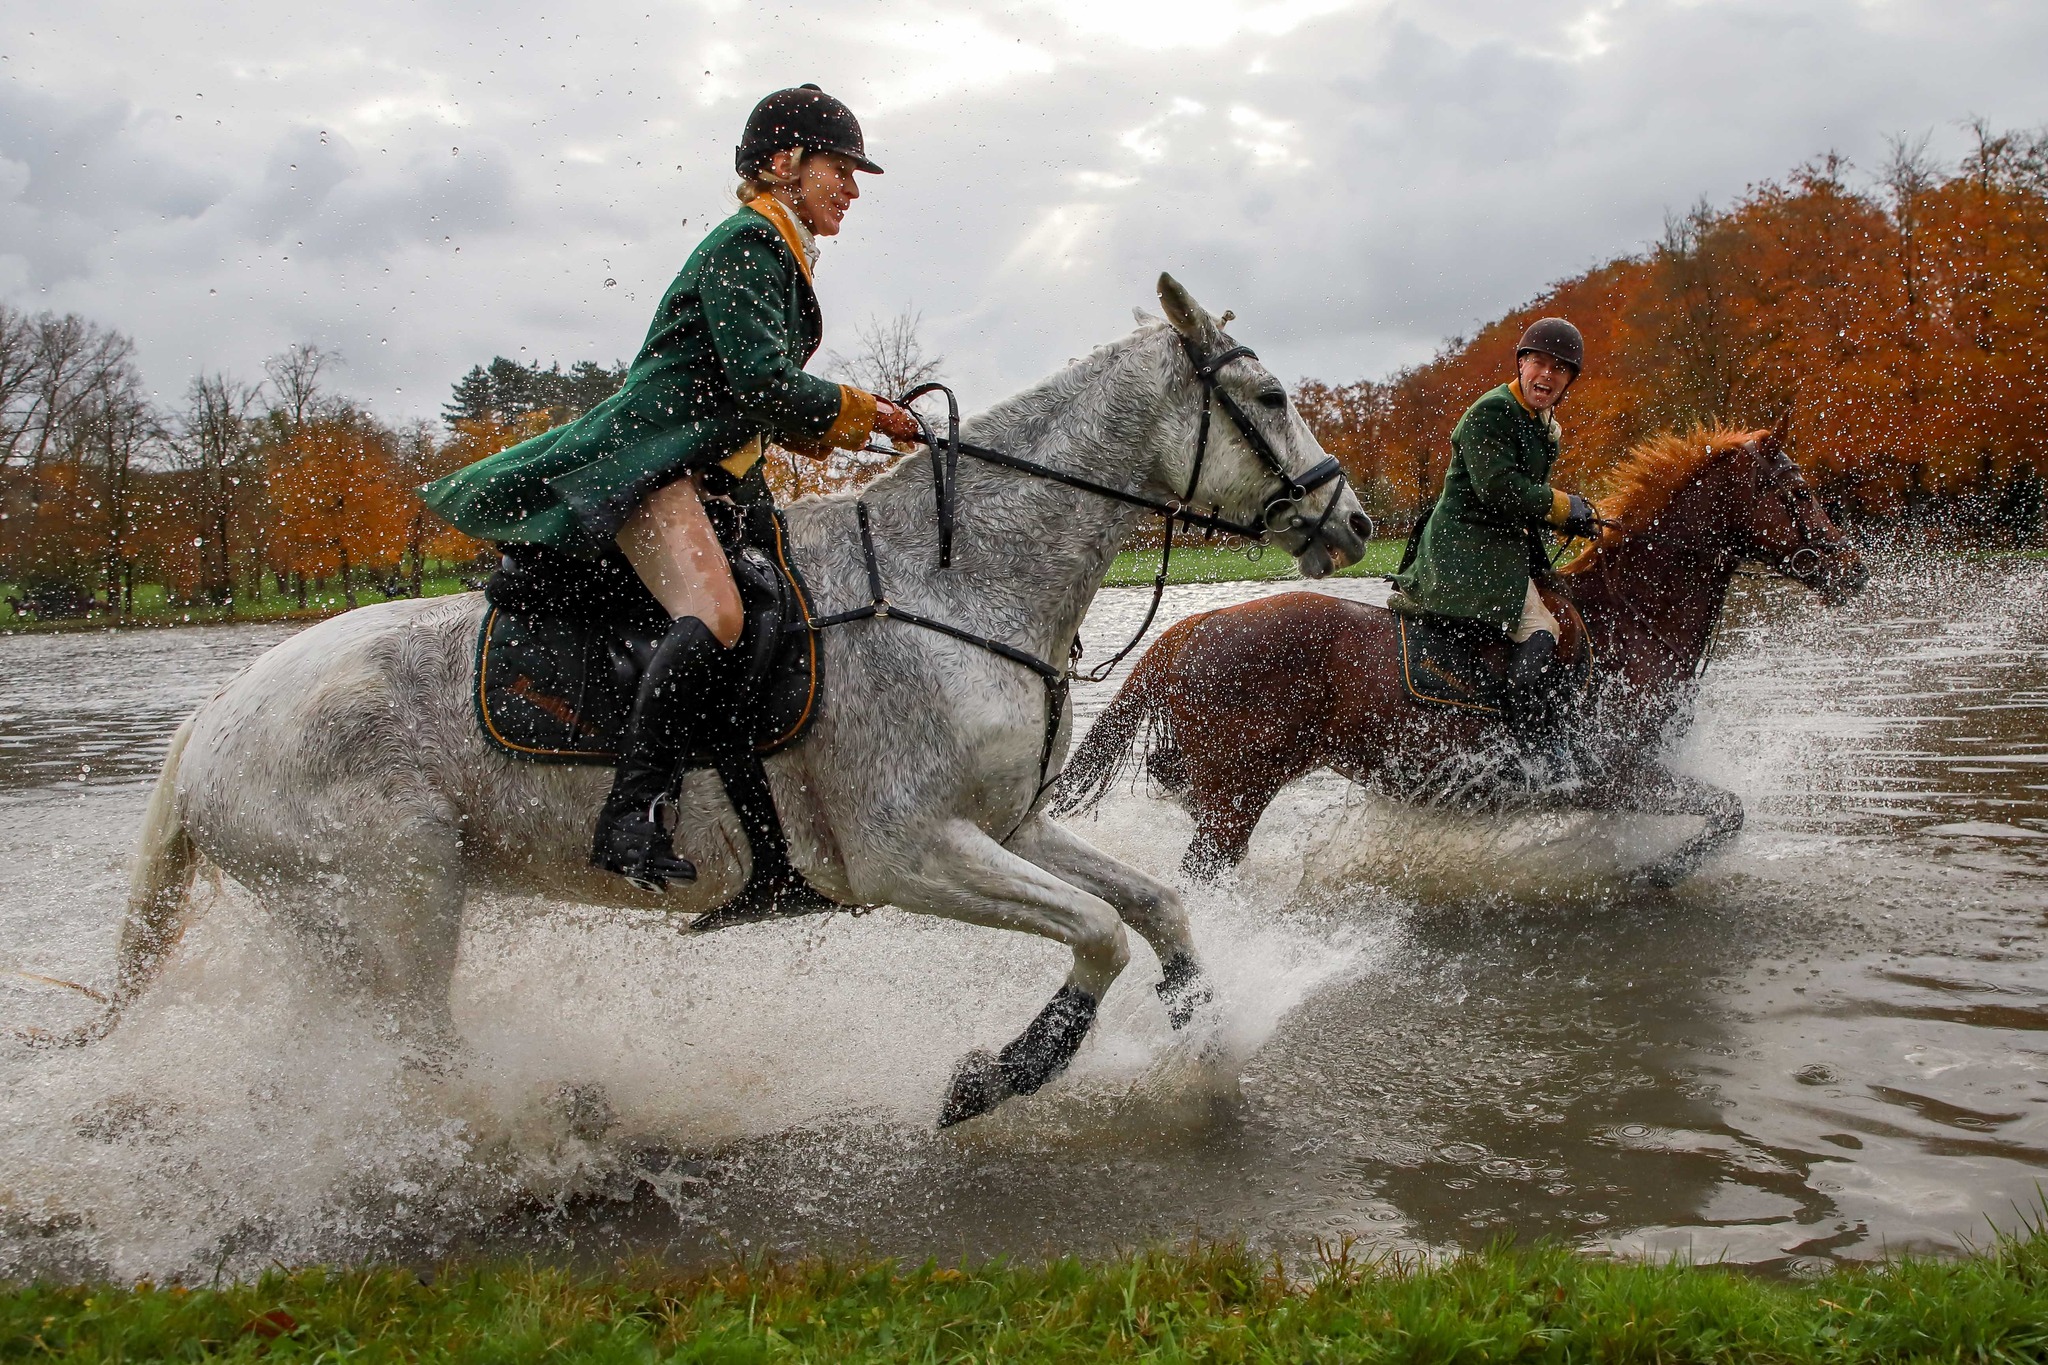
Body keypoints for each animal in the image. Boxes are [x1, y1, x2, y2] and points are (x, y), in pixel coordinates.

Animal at [86, 275, 1372, 1128]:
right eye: (1266, 394)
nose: (1352, 520)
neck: (948, 581)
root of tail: (215, 715)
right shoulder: (909, 853)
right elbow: (1096, 932)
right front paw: (997, 1076)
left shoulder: (1001, 825)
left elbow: (1151, 904)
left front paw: (1200, 1025)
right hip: (387, 913)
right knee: (406, 1062)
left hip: (343, 930)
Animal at [1052, 421, 1868, 886]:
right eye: (1799, 491)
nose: (1853, 570)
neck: (1631, 617)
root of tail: (1189, 627)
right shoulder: (1620, 773)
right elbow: (1728, 813)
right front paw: (1661, 874)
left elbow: (1719, 814)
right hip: (1235, 800)